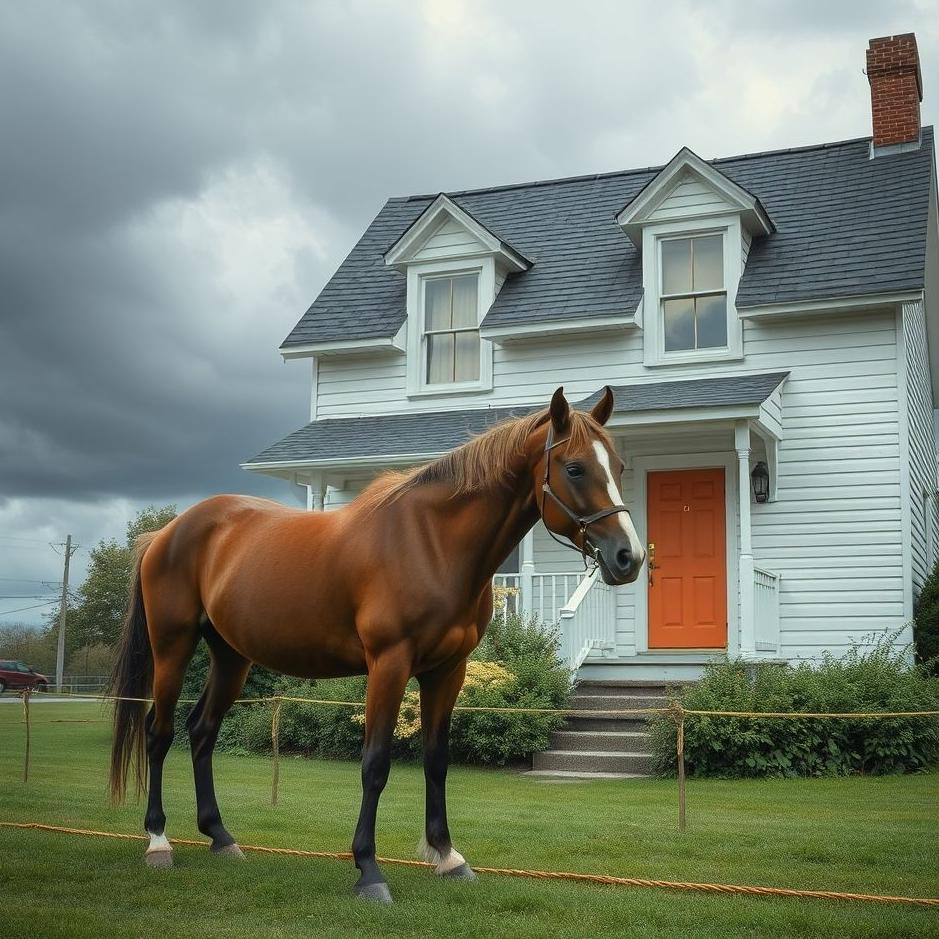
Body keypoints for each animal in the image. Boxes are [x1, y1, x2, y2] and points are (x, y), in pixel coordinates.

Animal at [109, 386, 645, 903]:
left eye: (619, 468)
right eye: (575, 467)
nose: (629, 557)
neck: (432, 543)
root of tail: (166, 533)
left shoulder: (447, 670)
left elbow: (436, 760)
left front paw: (447, 856)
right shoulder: (389, 664)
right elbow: (375, 763)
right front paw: (368, 870)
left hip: (231, 657)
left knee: (202, 731)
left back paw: (220, 837)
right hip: (173, 647)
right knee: (159, 733)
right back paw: (158, 841)